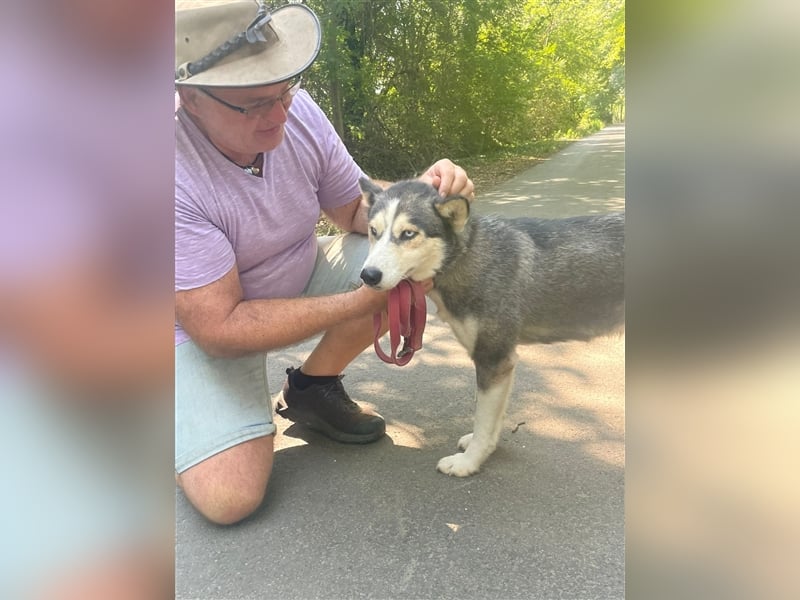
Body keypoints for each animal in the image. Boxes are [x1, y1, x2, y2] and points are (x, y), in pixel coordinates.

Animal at [358, 178, 624, 478]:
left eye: (407, 234)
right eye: (373, 231)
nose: (368, 276)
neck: (468, 256)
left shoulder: (493, 360)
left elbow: (483, 420)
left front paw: (468, 462)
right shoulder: (502, 365)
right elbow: (492, 420)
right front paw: (482, 449)